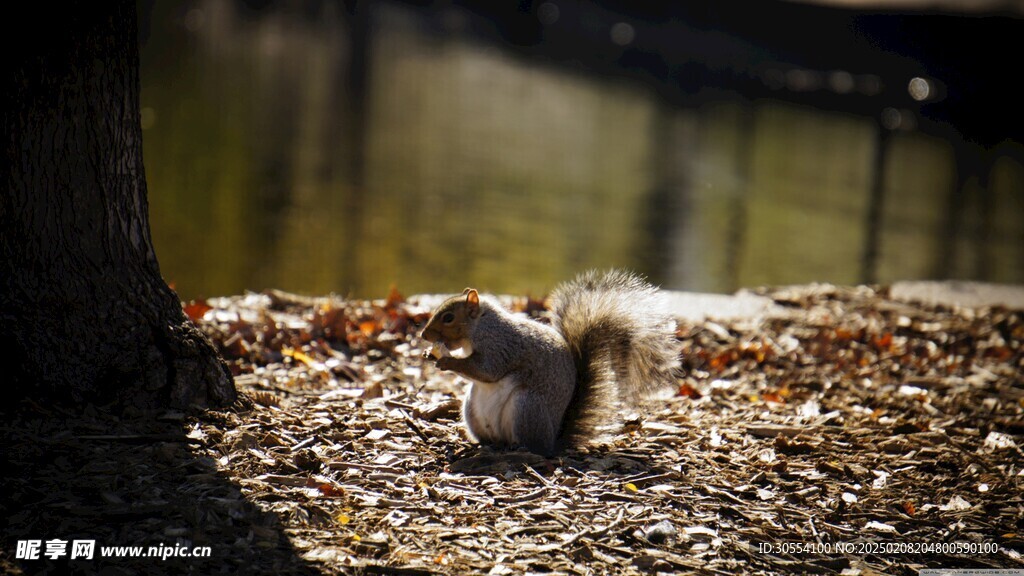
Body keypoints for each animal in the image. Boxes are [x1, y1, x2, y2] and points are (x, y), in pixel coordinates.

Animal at [419, 268, 675, 453]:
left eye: (448, 317)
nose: (423, 335)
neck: (481, 325)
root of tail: (554, 440)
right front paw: (429, 355)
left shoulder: (501, 346)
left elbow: (487, 371)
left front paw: (448, 361)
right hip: (472, 408)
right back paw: (486, 443)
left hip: (527, 407)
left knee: (534, 446)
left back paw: (519, 447)